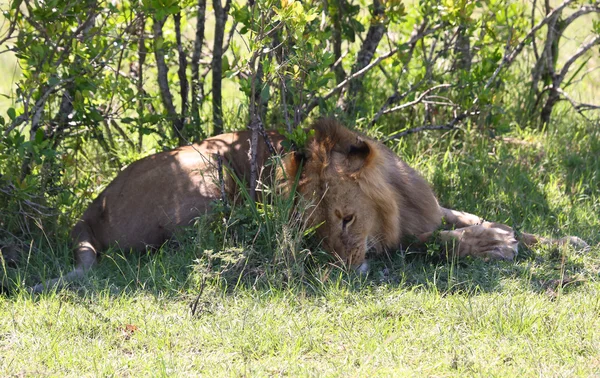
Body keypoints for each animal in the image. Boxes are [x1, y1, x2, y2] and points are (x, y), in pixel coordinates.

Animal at [31, 119, 584, 290]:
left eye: (346, 218)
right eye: (315, 235)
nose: (344, 272)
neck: (397, 207)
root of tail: (92, 206)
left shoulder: (433, 207)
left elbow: (487, 218)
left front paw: (566, 240)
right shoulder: (404, 240)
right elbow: (431, 245)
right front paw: (492, 245)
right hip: (207, 175)